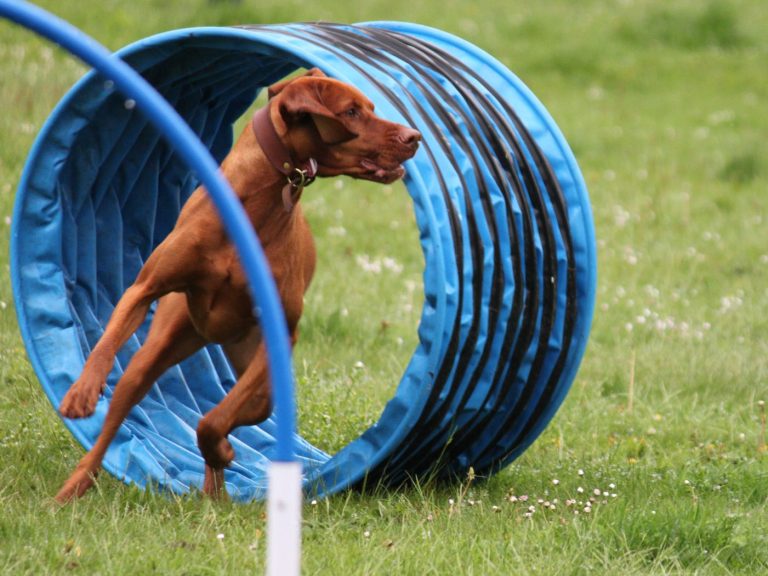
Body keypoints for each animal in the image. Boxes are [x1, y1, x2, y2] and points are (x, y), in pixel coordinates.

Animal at [54, 67, 420, 502]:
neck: (254, 202)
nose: (415, 135)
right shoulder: (145, 288)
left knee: (243, 409)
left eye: (371, 107)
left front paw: (222, 451)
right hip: (159, 349)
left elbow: (212, 421)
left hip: (258, 371)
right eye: (351, 111)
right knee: (121, 407)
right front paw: (83, 389)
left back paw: (216, 487)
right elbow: (109, 340)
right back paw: (72, 487)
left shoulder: (281, 334)